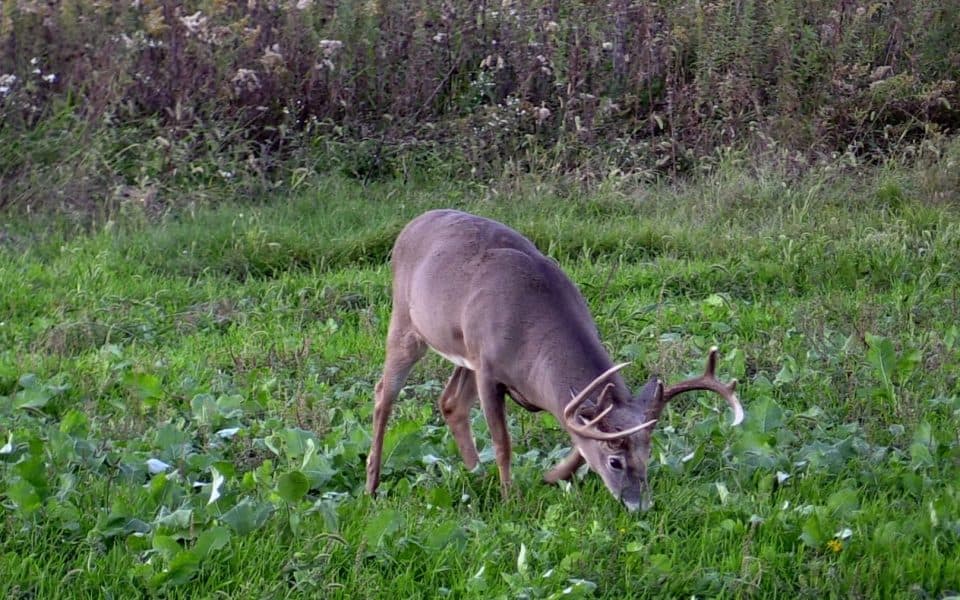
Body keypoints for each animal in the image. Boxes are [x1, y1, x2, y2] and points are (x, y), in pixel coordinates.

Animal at [364, 210, 748, 510]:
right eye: (615, 462)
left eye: (648, 454)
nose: (640, 505)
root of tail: (412, 224)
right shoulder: (489, 369)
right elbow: (503, 443)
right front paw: (512, 499)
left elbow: (577, 435)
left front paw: (550, 476)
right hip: (406, 322)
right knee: (384, 393)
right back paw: (372, 483)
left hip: (462, 351)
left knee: (450, 403)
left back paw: (477, 475)